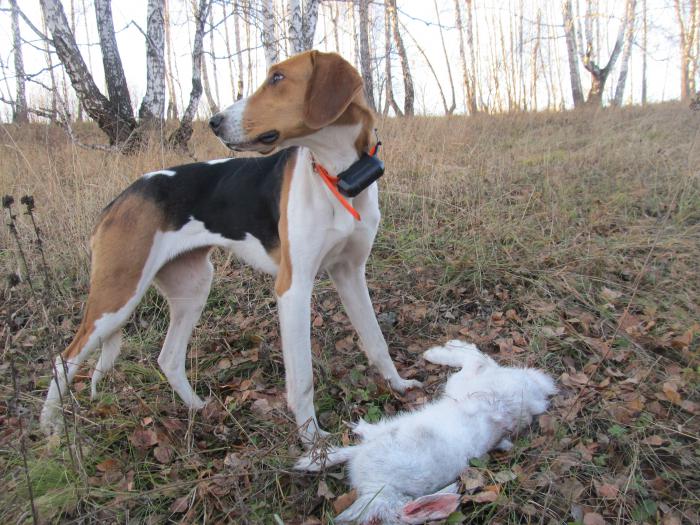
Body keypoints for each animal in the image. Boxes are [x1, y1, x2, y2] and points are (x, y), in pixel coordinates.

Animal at [38, 50, 418, 442]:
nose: (214, 122)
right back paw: (52, 431)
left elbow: (376, 340)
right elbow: (302, 378)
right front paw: (313, 441)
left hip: (192, 288)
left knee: (168, 358)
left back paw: (197, 408)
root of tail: (118, 200)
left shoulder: (350, 273)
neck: (337, 174)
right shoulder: (293, 288)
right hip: (117, 297)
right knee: (63, 360)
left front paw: (399, 387)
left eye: (278, 78)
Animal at [296, 342, 556, 520]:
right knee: (480, 358)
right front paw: (308, 463)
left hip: (463, 386)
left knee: (477, 359)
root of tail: (535, 390)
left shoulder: (378, 442)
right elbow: (346, 450)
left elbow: (354, 445)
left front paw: (306, 462)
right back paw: (439, 351)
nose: (340, 519)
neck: (386, 488)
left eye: (374, 522)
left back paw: (439, 352)